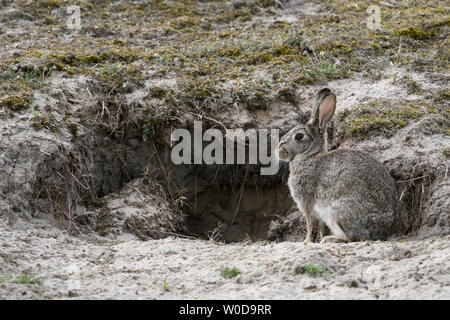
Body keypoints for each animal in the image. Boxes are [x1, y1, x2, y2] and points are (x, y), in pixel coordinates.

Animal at [276, 87, 406, 242]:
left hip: (337, 211)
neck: (310, 156)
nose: (278, 150)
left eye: (299, 136)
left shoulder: (307, 205)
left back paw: (329, 240)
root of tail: (384, 232)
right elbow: (320, 228)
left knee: (351, 238)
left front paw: (306, 241)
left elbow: (311, 226)